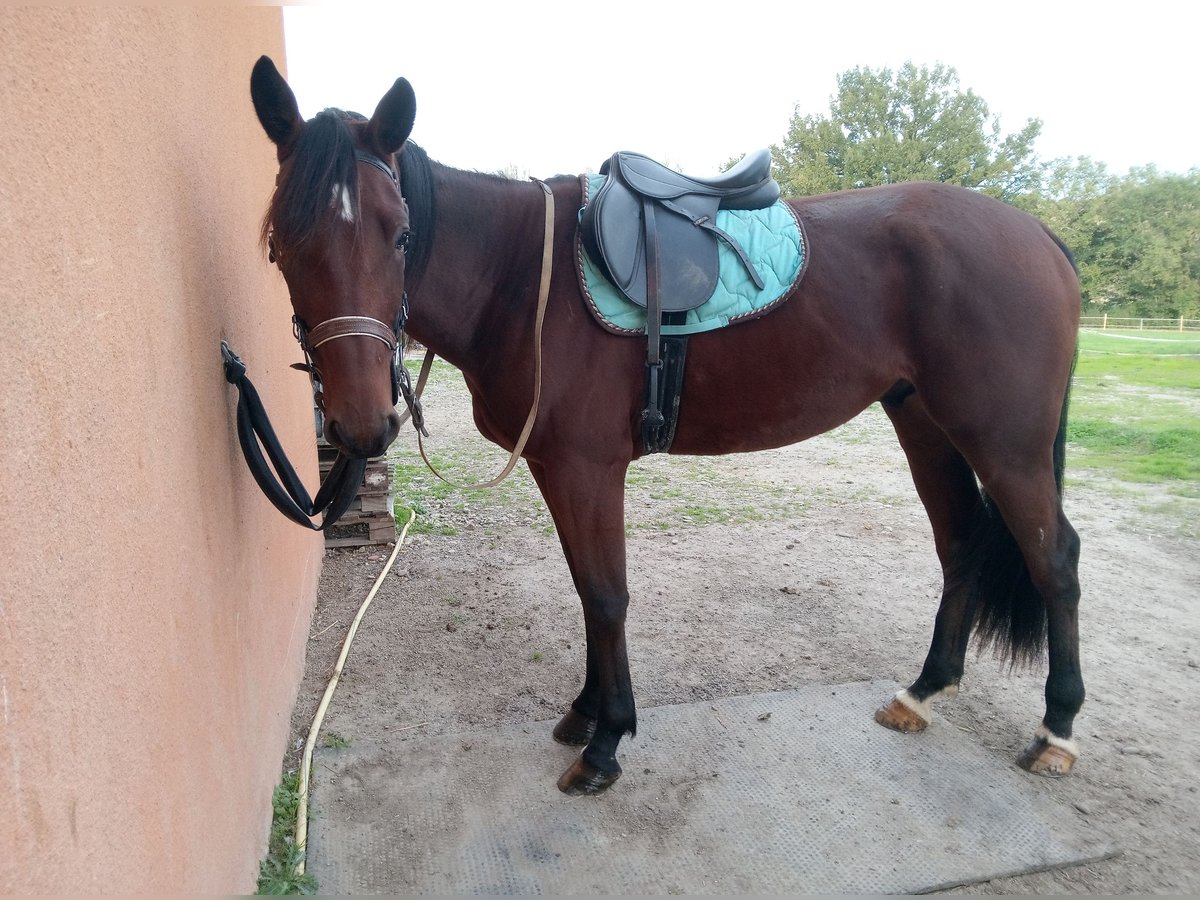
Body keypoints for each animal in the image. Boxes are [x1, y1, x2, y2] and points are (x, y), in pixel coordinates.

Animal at [250, 56, 1089, 796]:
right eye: (281, 243)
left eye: (399, 233)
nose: (360, 424)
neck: (520, 278)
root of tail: (1038, 234)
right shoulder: (556, 467)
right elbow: (586, 589)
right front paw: (587, 713)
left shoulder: (588, 467)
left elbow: (607, 594)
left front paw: (607, 742)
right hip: (927, 426)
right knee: (961, 547)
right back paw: (923, 692)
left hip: (1005, 445)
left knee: (1055, 560)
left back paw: (1056, 731)